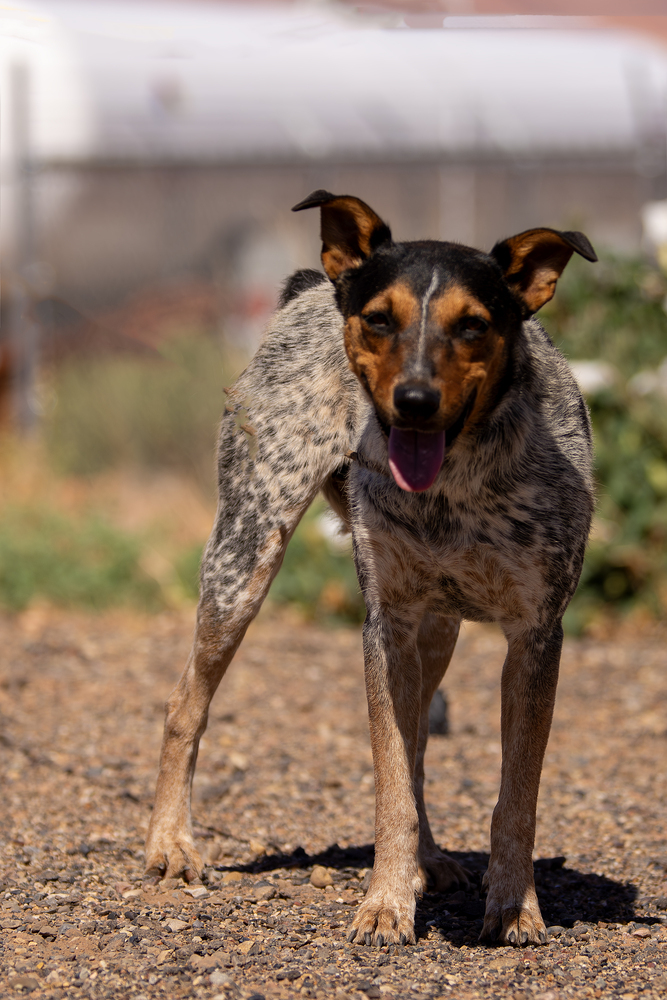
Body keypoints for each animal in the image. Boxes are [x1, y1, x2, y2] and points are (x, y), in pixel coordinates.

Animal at [146, 191, 600, 948]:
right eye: (380, 319)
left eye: (473, 326)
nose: (412, 402)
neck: (454, 487)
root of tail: (311, 285)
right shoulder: (384, 625)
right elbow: (389, 784)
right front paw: (386, 905)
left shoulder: (536, 636)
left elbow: (513, 794)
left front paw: (513, 908)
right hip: (243, 557)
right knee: (186, 704)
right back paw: (170, 844)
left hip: (437, 633)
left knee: (417, 746)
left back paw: (431, 862)